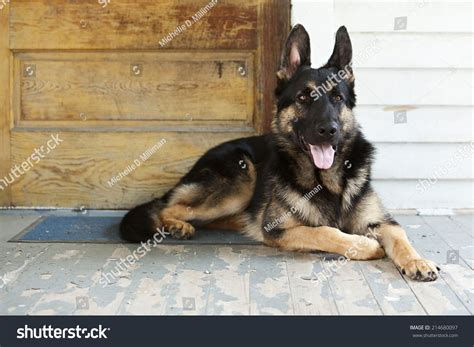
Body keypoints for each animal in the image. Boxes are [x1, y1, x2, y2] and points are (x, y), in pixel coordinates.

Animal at [121, 25, 440, 284]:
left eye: (337, 98)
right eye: (303, 97)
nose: (329, 130)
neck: (328, 182)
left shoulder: (383, 222)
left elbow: (401, 236)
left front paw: (418, 261)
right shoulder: (281, 229)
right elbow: (326, 232)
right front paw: (365, 246)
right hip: (240, 180)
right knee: (167, 208)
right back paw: (178, 225)